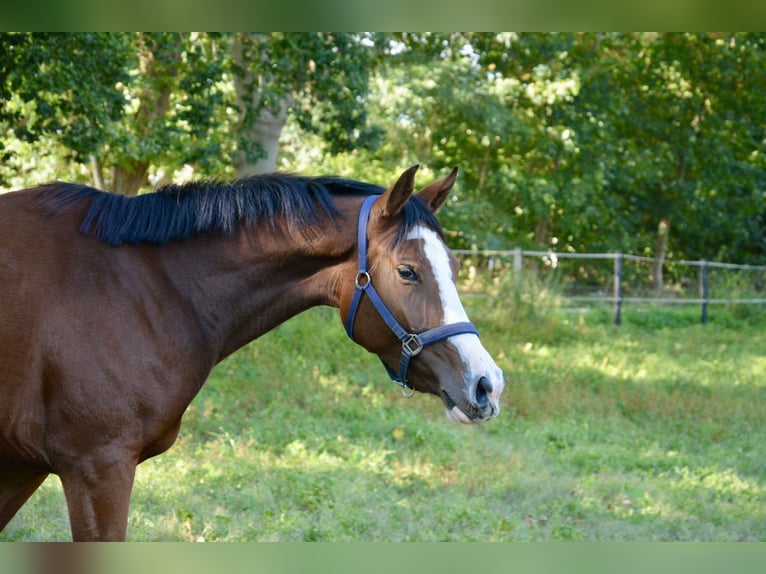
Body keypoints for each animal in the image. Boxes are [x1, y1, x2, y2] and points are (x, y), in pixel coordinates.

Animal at [0, 165, 508, 540]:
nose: (487, 384)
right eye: (407, 271)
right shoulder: (97, 468)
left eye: (454, 266)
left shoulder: (24, 464)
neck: (138, 287)